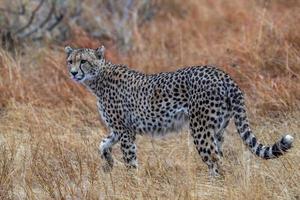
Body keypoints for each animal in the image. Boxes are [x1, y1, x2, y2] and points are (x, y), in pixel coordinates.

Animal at [65, 45, 292, 177]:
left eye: (83, 61)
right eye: (70, 61)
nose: (73, 73)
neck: (97, 78)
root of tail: (223, 75)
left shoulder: (125, 131)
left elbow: (130, 160)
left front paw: (131, 182)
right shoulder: (119, 129)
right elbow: (102, 143)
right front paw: (109, 162)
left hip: (200, 129)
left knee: (215, 161)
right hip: (217, 130)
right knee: (218, 158)